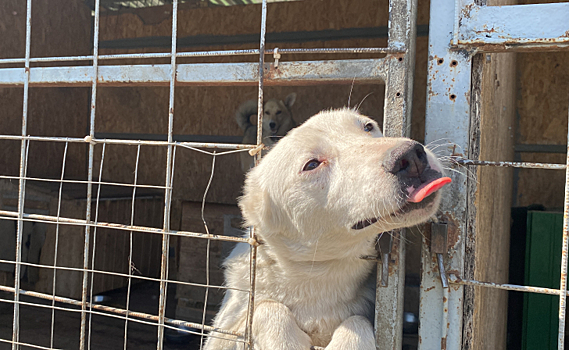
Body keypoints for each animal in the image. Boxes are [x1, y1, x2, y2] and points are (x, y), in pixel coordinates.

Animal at [204, 109, 448, 350]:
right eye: (312, 165)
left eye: (368, 126)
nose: (411, 155)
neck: (318, 274)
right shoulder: (225, 329)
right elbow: (264, 308)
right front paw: (285, 341)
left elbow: (357, 321)